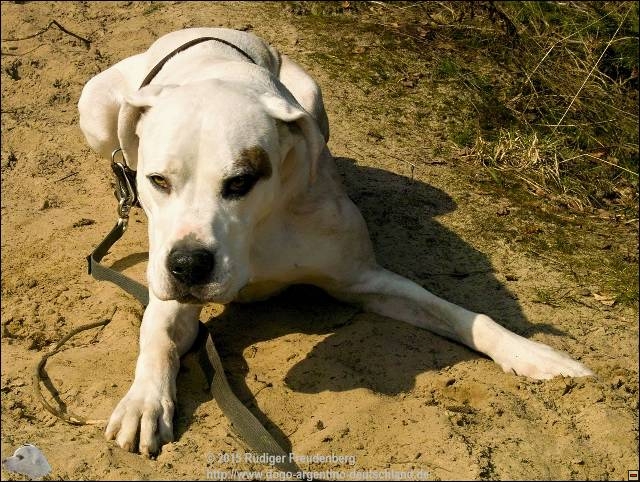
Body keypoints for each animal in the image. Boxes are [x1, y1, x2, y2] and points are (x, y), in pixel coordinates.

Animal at [77, 28, 592, 458]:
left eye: (241, 182)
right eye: (158, 180)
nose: (188, 266)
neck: (262, 226)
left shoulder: (363, 278)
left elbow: (463, 315)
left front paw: (536, 356)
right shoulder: (171, 291)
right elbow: (158, 335)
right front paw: (145, 401)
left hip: (313, 98)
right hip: (97, 113)